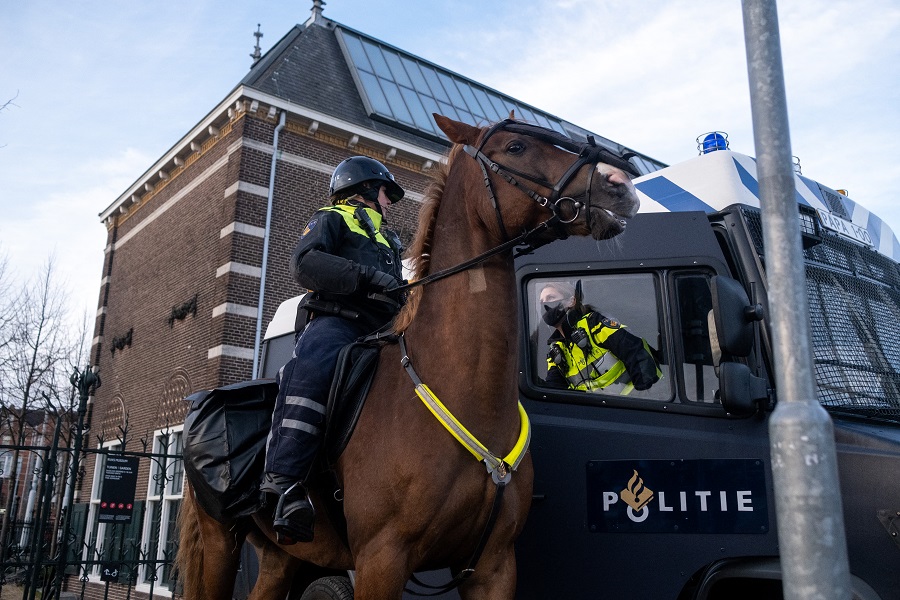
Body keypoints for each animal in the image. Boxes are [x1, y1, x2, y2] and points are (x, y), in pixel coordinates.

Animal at [176, 113, 640, 600]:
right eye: (515, 147)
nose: (619, 183)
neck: (468, 395)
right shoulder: (381, 560)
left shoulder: (494, 565)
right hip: (220, 541)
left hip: (283, 556)